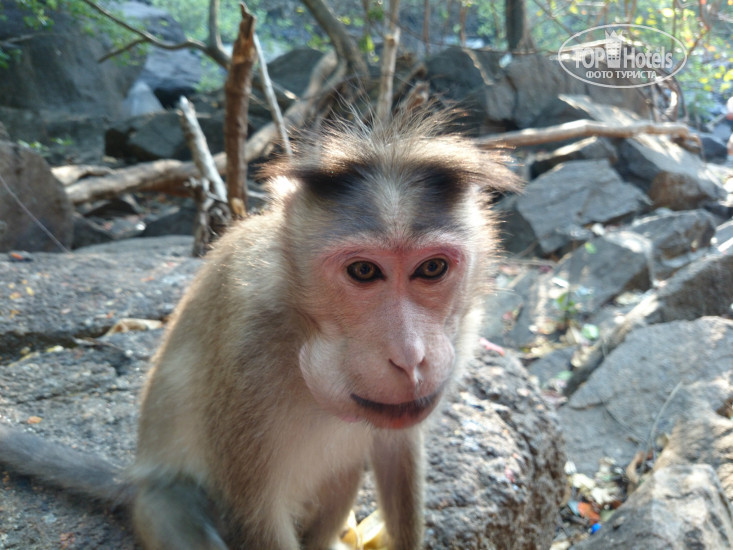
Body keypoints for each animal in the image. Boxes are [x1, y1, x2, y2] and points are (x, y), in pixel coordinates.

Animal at [0, 109, 518, 549]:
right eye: (364, 272)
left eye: (431, 269)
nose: (410, 357)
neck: (300, 323)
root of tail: (135, 478)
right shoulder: (249, 352)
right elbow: (256, 513)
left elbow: (396, 452)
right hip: (162, 505)